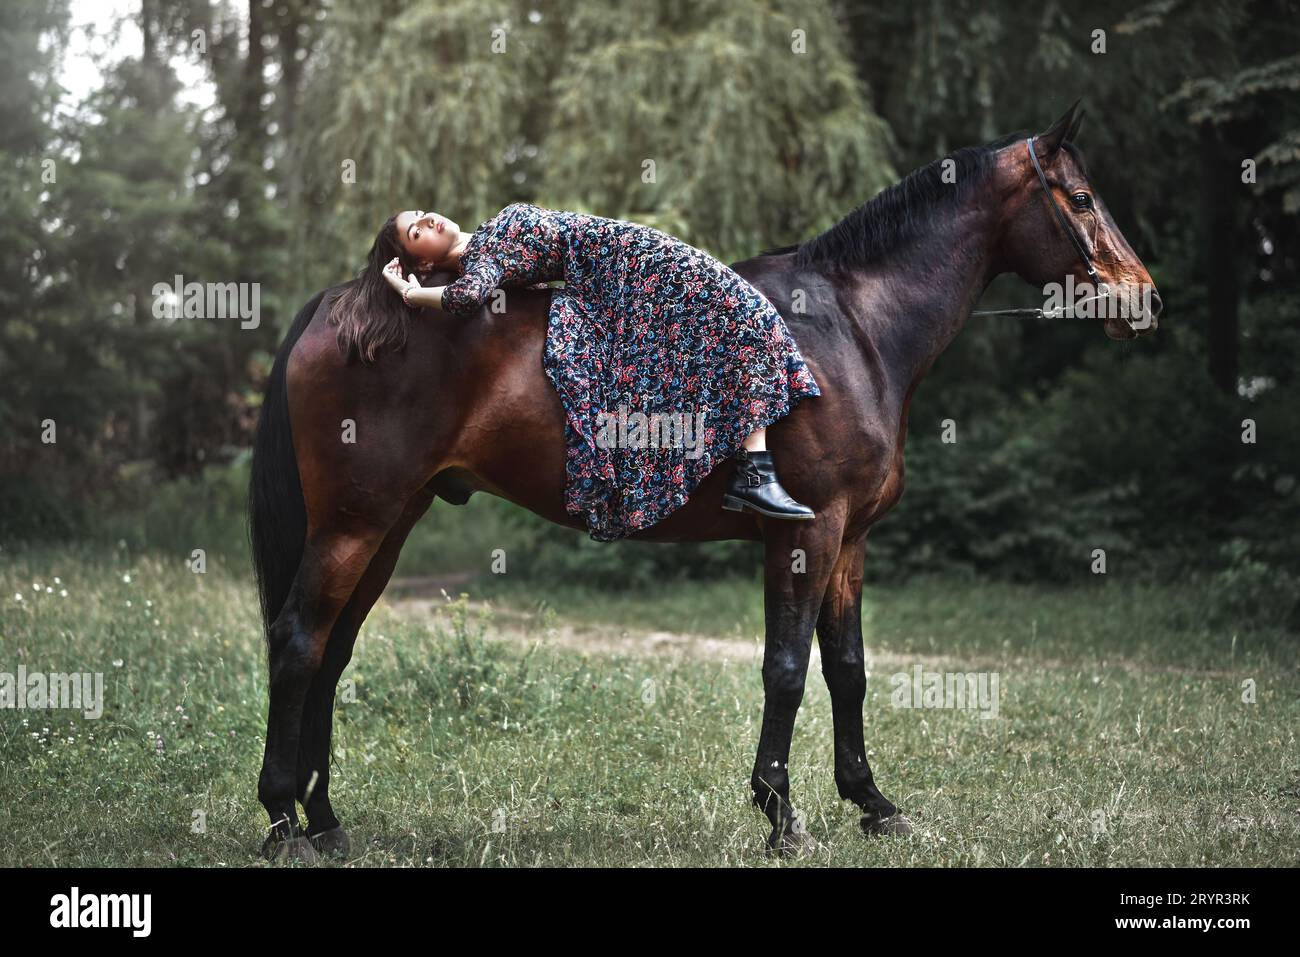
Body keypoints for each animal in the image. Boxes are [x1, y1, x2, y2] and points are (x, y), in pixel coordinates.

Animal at [248, 104, 1164, 858]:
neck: (853, 329)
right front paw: (781, 815)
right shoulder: (806, 530)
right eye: (1083, 199)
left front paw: (874, 804)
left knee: (331, 652)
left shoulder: (852, 540)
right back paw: (284, 820)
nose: (1144, 298)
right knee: (297, 642)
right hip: (355, 523)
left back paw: (326, 821)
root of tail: (345, 303)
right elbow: (786, 668)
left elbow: (849, 668)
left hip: (390, 523)